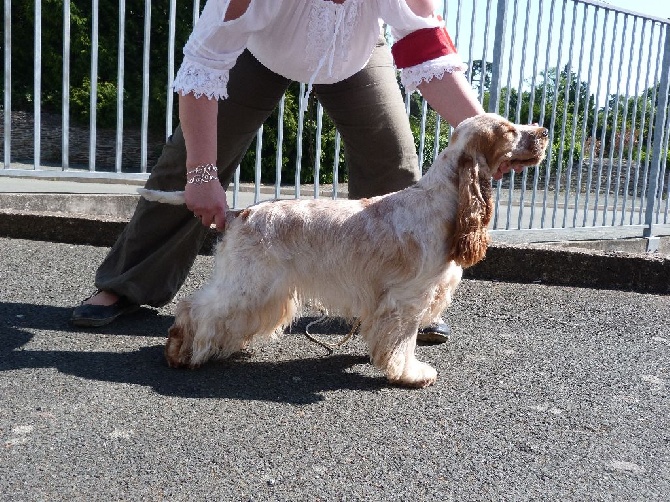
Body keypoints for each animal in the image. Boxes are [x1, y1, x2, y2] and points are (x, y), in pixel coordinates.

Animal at [139, 113, 548, 388]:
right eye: (510, 130)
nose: (544, 132)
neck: (444, 199)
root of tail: (242, 212)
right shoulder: (407, 299)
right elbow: (404, 342)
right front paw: (411, 374)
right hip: (248, 284)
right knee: (195, 308)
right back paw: (180, 353)